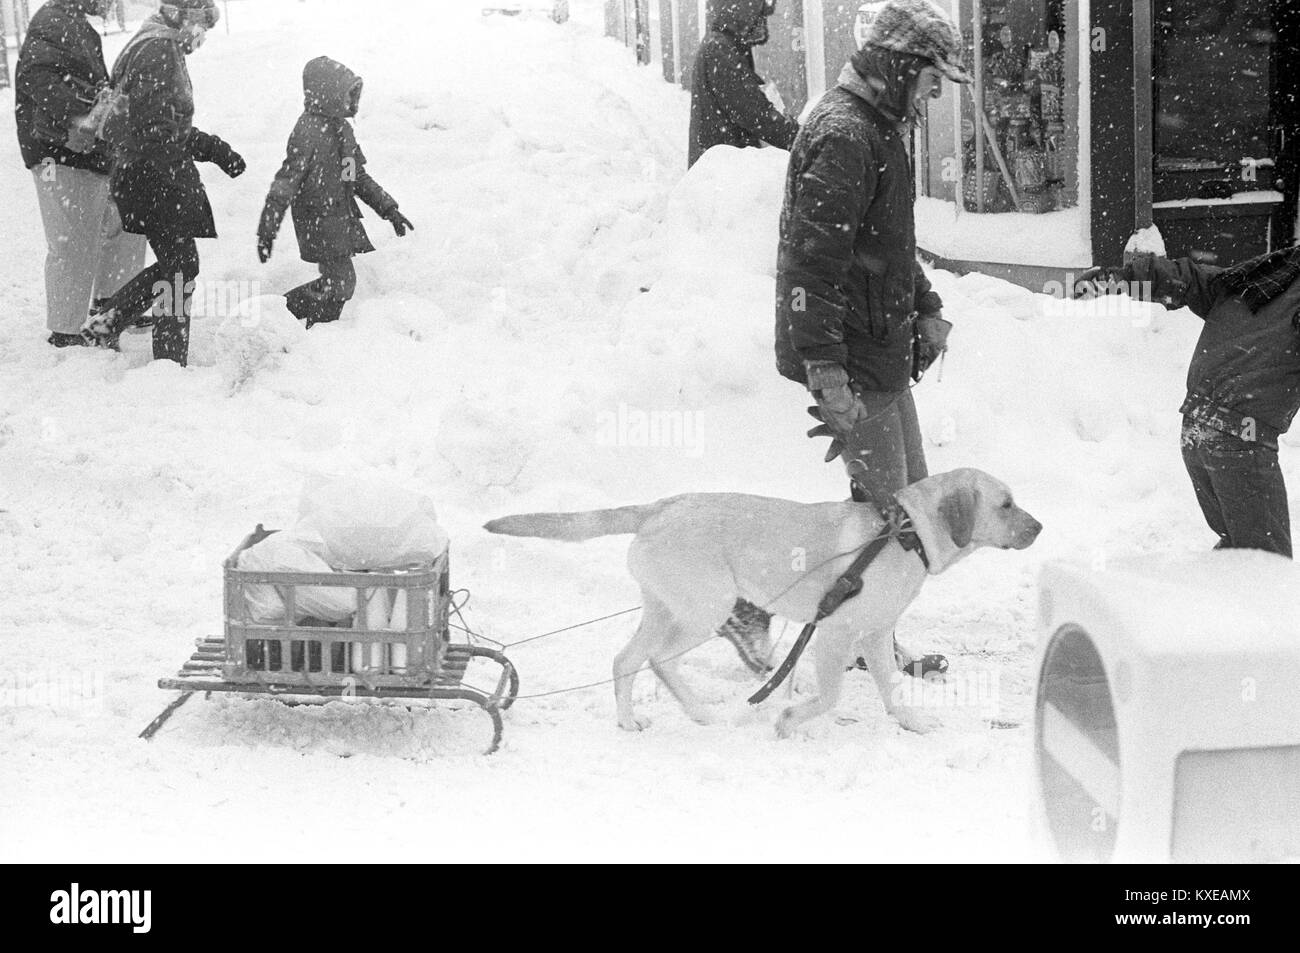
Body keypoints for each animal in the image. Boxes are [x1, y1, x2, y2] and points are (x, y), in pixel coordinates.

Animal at [483, 465, 1040, 728]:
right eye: (1006, 504)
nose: (1040, 527)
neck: (906, 534)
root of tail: (661, 505)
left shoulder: (877, 634)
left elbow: (893, 690)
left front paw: (913, 724)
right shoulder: (836, 633)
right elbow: (831, 694)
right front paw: (791, 721)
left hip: (664, 609)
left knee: (625, 661)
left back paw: (637, 719)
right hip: (702, 610)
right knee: (659, 660)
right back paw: (702, 712)